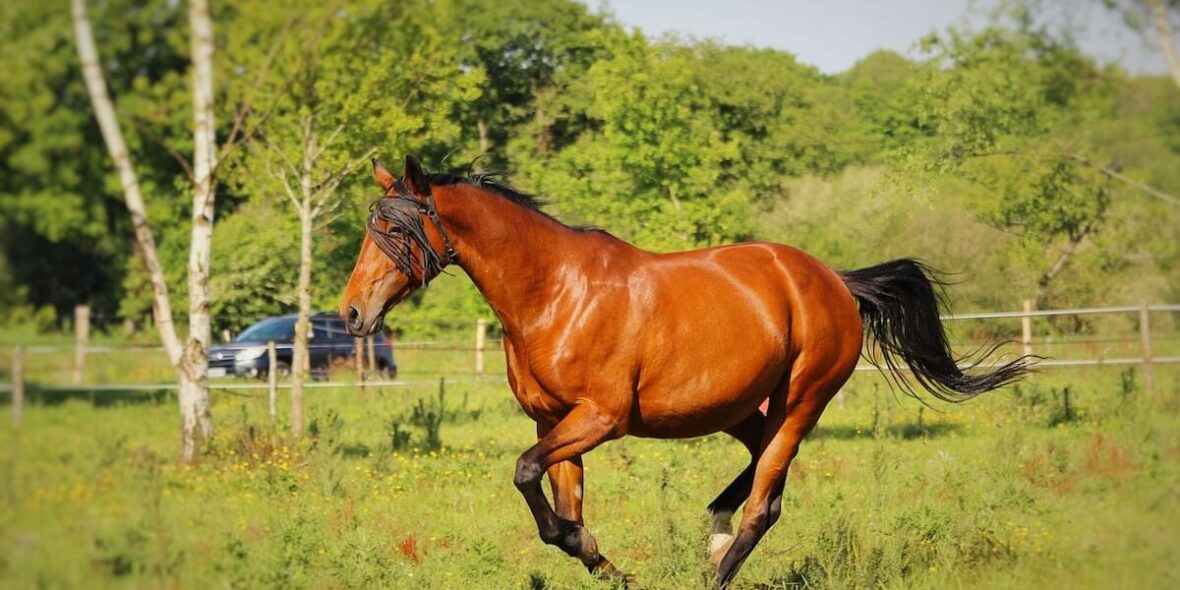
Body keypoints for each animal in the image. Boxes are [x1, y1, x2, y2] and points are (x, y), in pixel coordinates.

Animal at [339, 155, 1033, 588]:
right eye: (372, 228)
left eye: (395, 229)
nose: (351, 313)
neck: (554, 293)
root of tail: (835, 282)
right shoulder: (555, 422)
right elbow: (561, 516)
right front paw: (603, 561)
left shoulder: (601, 418)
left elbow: (526, 475)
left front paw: (605, 559)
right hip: (743, 409)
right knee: (759, 470)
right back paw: (715, 530)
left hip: (801, 402)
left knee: (767, 502)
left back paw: (720, 559)